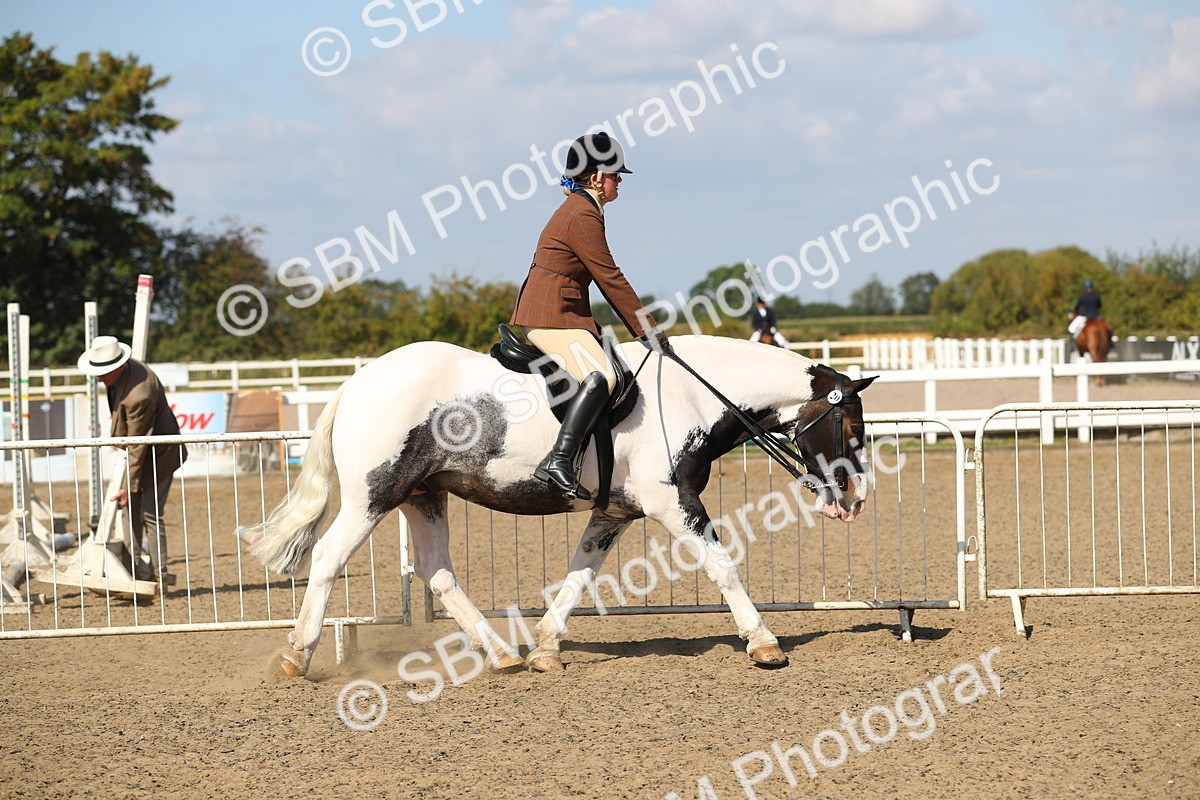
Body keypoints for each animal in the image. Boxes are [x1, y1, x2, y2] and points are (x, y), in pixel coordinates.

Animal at [248, 334, 876, 678]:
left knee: (437, 572)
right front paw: (764, 643)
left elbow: (579, 576)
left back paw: (502, 654)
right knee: (328, 558)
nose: (856, 499)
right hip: (373, 496)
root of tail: (358, 380)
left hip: (424, 497)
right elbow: (723, 567)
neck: (689, 396)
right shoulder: (676, 505)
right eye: (850, 427)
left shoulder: (612, 514)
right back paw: (297, 655)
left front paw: (546, 647)